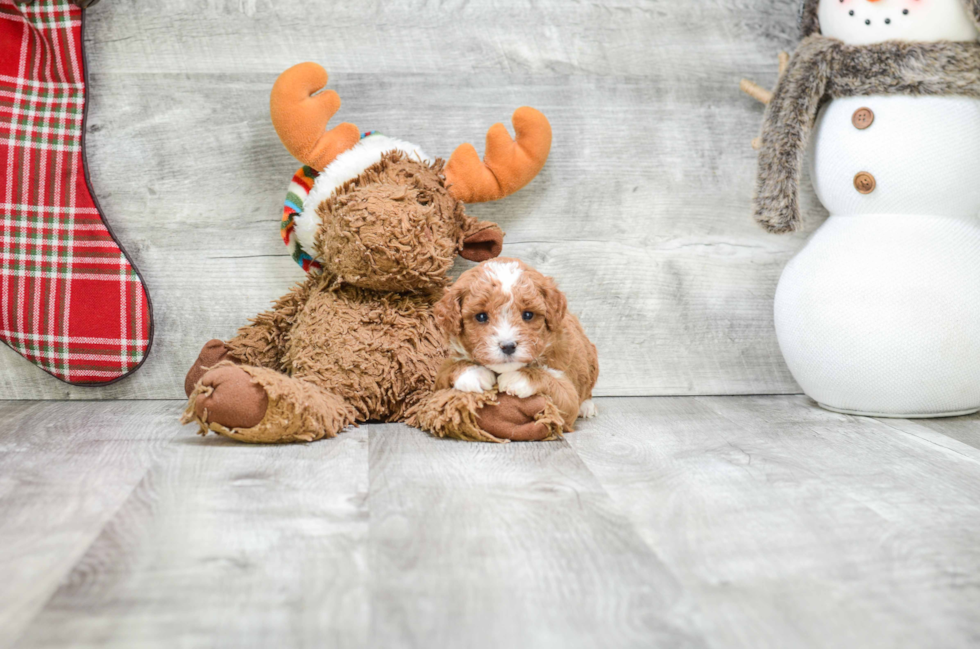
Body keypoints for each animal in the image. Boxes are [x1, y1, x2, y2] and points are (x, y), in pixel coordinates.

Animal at [434, 256, 596, 430]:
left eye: (528, 315)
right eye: (481, 316)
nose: (508, 346)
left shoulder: (568, 402)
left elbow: (557, 386)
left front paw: (519, 378)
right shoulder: (440, 377)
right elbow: (448, 369)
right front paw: (474, 373)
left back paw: (587, 406)